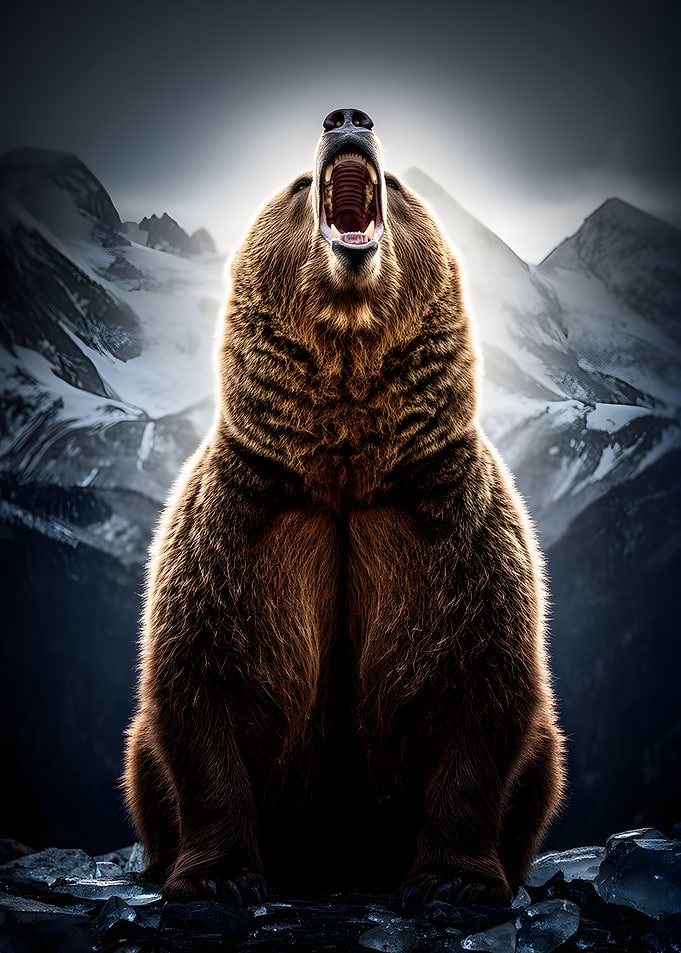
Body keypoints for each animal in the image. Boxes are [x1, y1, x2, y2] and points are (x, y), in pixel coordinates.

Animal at [123, 107, 566, 911]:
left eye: (401, 188)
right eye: (299, 184)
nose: (347, 117)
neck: (344, 470)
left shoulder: (450, 523)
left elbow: (483, 684)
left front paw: (453, 879)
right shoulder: (241, 521)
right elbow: (199, 680)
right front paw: (217, 876)